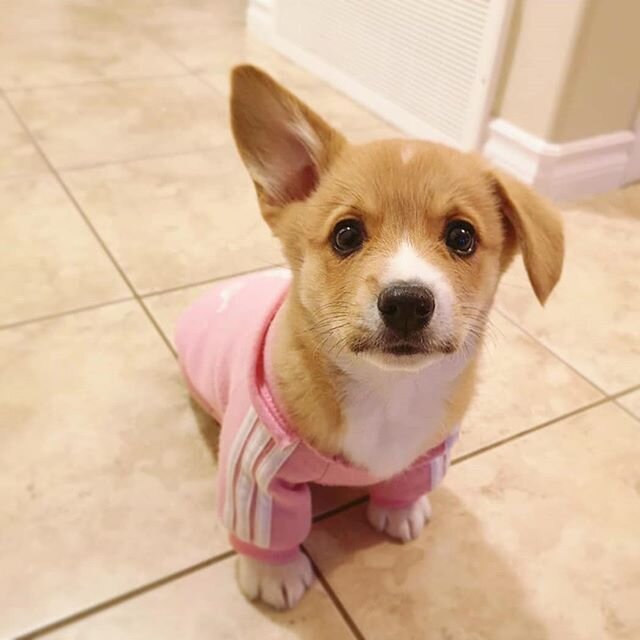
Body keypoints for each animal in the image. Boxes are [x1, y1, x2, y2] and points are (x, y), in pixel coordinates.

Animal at [176, 65, 564, 608]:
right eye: (346, 234)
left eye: (462, 236)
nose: (406, 302)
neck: (388, 392)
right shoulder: (256, 466)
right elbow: (269, 530)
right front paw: (275, 574)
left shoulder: (429, 454)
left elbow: (405, 487)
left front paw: (401, 513)